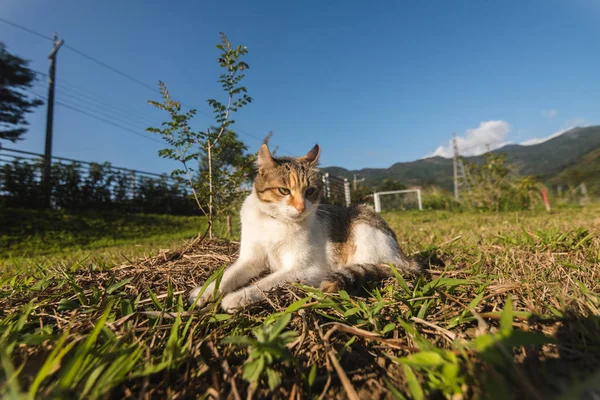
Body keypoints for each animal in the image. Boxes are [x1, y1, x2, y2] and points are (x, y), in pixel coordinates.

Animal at [189, 144, 422, 312]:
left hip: (362, 221)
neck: (274, 222)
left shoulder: (305, 269)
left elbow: (264, 283)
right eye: (284, 190)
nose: (301, 207)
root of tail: (404, 258)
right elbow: (228, 275)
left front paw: (236, 297)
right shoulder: (250, 259)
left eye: (310, 191)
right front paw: (204, 292)